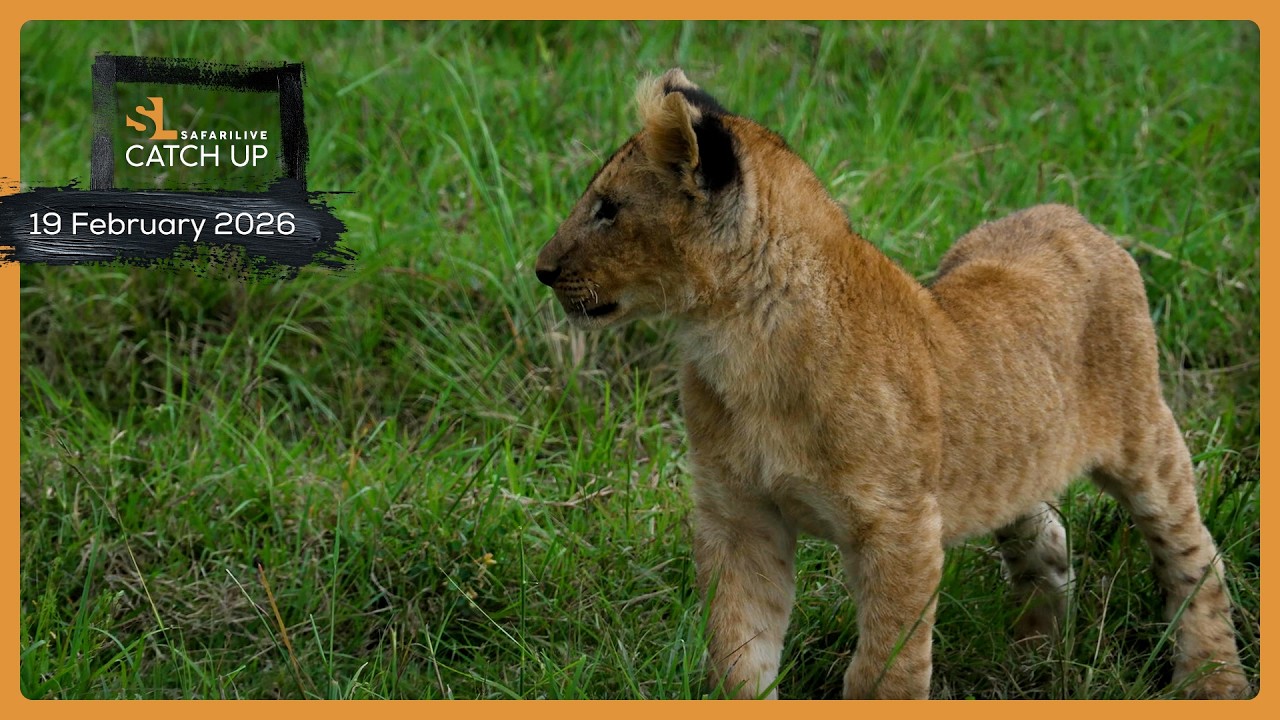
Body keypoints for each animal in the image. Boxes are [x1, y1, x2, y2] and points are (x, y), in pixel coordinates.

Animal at [534, 69, 1249, 700]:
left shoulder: (900, 526)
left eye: (606, 210)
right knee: (1044, 533)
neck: (736, 339)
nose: (540, 269)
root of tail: (1071, 215)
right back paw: (1035, 658)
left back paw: (1213, 682)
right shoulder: (739, 515)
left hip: (1145, 439)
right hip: (1010, 455)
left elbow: (884, 669)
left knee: (1195, 557)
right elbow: (740, 652)